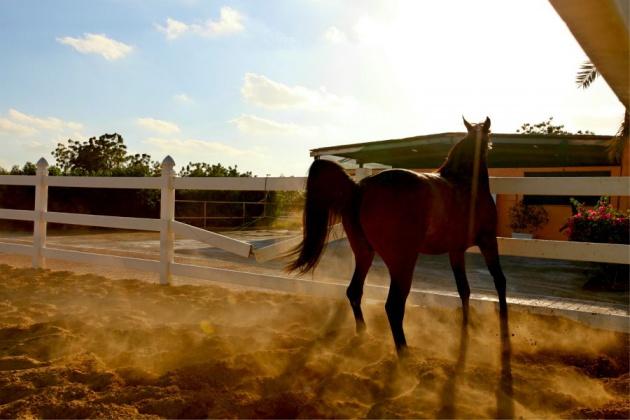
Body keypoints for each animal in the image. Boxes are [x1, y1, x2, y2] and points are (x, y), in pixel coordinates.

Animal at [288, 117, 512, 354]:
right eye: (489, 138)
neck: (465, 183)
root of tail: (360, 188)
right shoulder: (488, 241)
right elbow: (499, 280)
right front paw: (504, 328)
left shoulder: (456, 250)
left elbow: (464, 289)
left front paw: (466, 328)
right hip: (402, 262)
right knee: (393, 306)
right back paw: (404, 351)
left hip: (365, 254)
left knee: (355, 292)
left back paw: (364, 333)